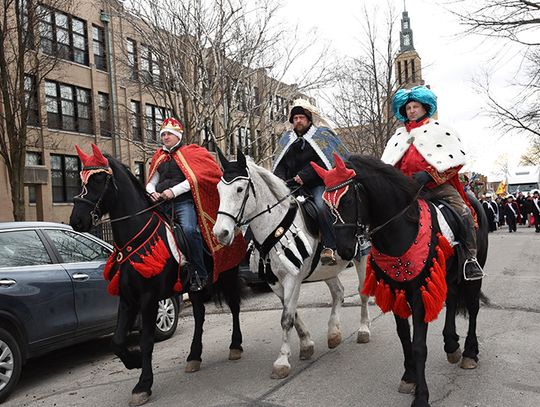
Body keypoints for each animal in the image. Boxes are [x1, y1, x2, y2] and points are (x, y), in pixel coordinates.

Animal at [69, 145, 243, 406]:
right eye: (81, 179)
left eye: (99, 179)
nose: (76, 220)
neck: (136, 237)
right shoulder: (127, 299)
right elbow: (116, 342)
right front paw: (133, 360)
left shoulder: (149, 298)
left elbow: (147, 340)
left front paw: (143, 384)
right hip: (195, 287)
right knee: (200, 315)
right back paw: (194, 356)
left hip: (228, 272)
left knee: (234, 305)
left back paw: (235, 346)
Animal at [212, 151, 372, 380]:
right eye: (218, 189)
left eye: (240, 189)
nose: (221, 233)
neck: (275, 224)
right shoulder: (274, 281)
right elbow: (292, 313)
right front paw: (306, 344)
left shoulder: (292, 278)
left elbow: (286, 318)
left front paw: (282, 362)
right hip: (327, 269)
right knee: (339, 293)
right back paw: (333, 333)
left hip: (360, 256)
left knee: (362, 292)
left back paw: (363, 330)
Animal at [310, 155, 488, 407]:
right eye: (325, 205)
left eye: (348, 199)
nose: (344, 250)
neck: (401, 231)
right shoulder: (396, 291)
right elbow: (404, 337)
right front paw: (409, 377)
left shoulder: (419, 293)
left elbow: (419, 345)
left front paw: (422, 396)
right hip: (448, 274)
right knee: (452, 299)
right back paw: (451, 344)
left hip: (472, 273)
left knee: (472, 307)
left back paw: (469, 353)